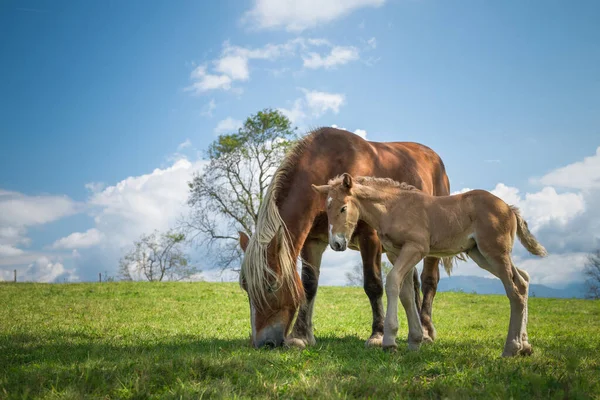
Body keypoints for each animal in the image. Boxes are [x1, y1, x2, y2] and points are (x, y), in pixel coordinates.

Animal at [238, 126, 450, 348]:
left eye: (271, 286)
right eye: (246, 289)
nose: (264, 343)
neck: (328, 163)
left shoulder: (370, 238)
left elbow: (373, 284)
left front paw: (377, 335)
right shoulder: (313, 241)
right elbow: (309, 285)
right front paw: (301, 335)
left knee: (428, 281)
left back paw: (426, 331)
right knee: (412, 283)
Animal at [314, 172, 548, 356]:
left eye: (343, 208)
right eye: (327, 209)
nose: (336, 243)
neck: (393, 207)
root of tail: (509, 208)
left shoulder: (416, 248)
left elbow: (392, 281)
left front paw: (389, 342)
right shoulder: (395, 253)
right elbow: (406, 293)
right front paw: (414, 341)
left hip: (496, 253)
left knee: (514, 292)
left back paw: (511, 348)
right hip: (481, 254)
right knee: (523, 280)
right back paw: (525, 346)